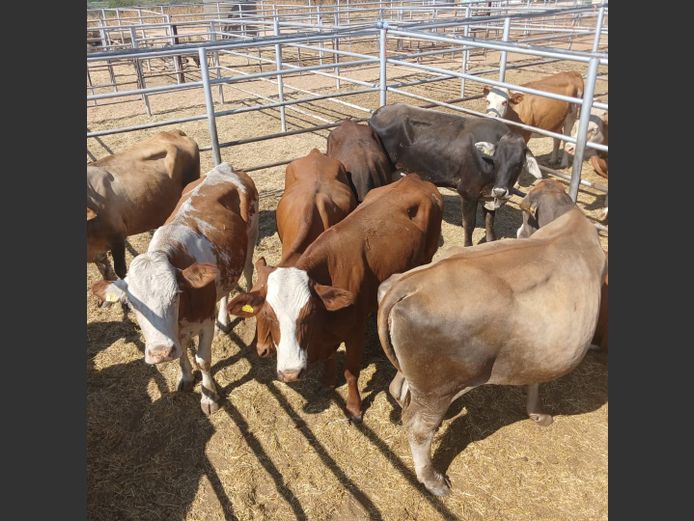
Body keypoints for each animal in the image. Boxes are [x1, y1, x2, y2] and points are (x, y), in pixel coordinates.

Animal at [91, 163, 259, 414]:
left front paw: (209, 397)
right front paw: (187, 378)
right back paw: (224, 321)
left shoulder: (205, 322)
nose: (160, 353)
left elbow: (203, 360)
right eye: (132, 304)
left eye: (175, 296)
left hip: (251, 237)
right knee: (225, 289)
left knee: (248, 270)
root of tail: (224, 168)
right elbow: (182, 356)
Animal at [227, 174, 443, 421]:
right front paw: (328, 382)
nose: (290, 373)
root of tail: (415, 179)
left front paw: (354, 407)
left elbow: (351, 372)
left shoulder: (355, 331)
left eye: (308, 314)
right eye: (267, 314)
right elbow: (329, 359)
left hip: (428, 255)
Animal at [369, 103, 542, 247]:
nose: (500, 191)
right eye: (496, 160)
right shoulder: (467, 192)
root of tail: (379, 111)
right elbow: (469, 224)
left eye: (519, 163)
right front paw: (467, 246)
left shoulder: (488, 197)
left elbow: (489, 224)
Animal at [377, 178, 606, 495]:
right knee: (419, 428)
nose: (519, 233)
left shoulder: (538, 347)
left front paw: (536, 412)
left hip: (418, 376)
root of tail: (410, 283)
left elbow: (535, 377)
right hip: (440, 386)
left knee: (398, 391)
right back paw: (433, 480)